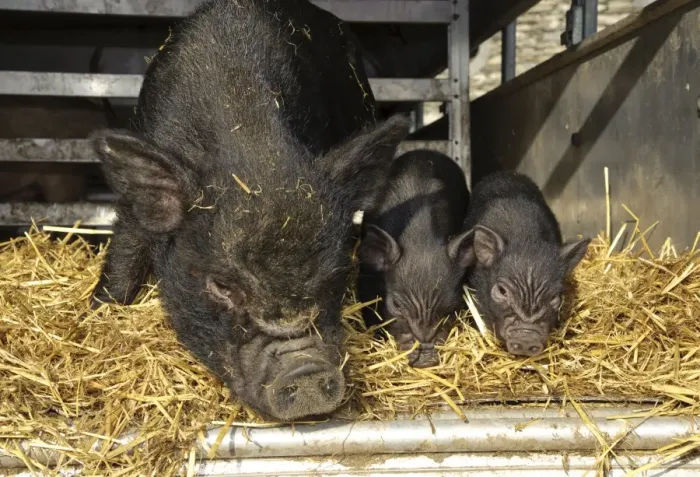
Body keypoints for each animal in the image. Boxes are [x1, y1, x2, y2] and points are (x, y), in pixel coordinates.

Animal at [89, 0, 410, 421]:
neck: (250, 144)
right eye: (223, 286)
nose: (306, 370)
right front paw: (98, 312)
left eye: (336, 276)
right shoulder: (135, 208)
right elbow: (123, 261)